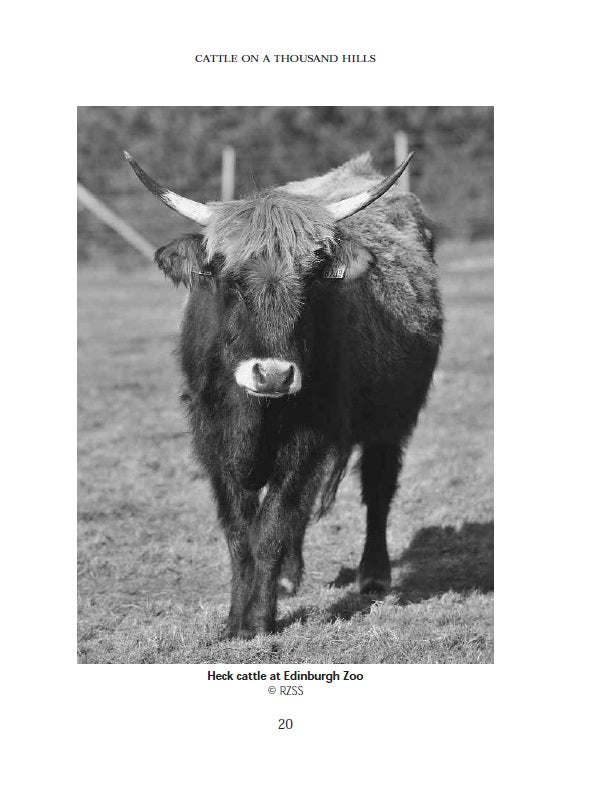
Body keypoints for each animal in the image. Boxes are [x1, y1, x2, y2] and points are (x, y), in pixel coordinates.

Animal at [124, 149, 443, 639]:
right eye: (227, 278)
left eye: (312, 280)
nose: (273, 375)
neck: (255, 414)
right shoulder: (211, 437)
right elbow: (240, 531)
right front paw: (235, 619)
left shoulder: (310, 436)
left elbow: (272, 526)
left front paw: (257, 621)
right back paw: (292, 578)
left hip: (392, 418)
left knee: (378, 488)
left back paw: (373, 574)